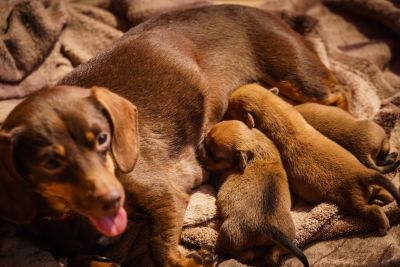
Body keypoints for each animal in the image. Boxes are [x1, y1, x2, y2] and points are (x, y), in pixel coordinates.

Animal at [198, 121, 308, 267]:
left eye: (215, 156)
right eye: (205, 139)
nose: (197, 149)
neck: (253, 147)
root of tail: (265, 225)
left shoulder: (222, 177)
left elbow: (216, 178)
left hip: (229, 232)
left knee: (245, 254)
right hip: (290, 235)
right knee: (274, 253)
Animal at [227, 84, 400, 237]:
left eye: (231, 110)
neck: (273, 108)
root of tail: (362, 173)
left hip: (354, 201)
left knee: (373, 210)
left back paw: (383, 227)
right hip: (365, 192)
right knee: (383, 194)